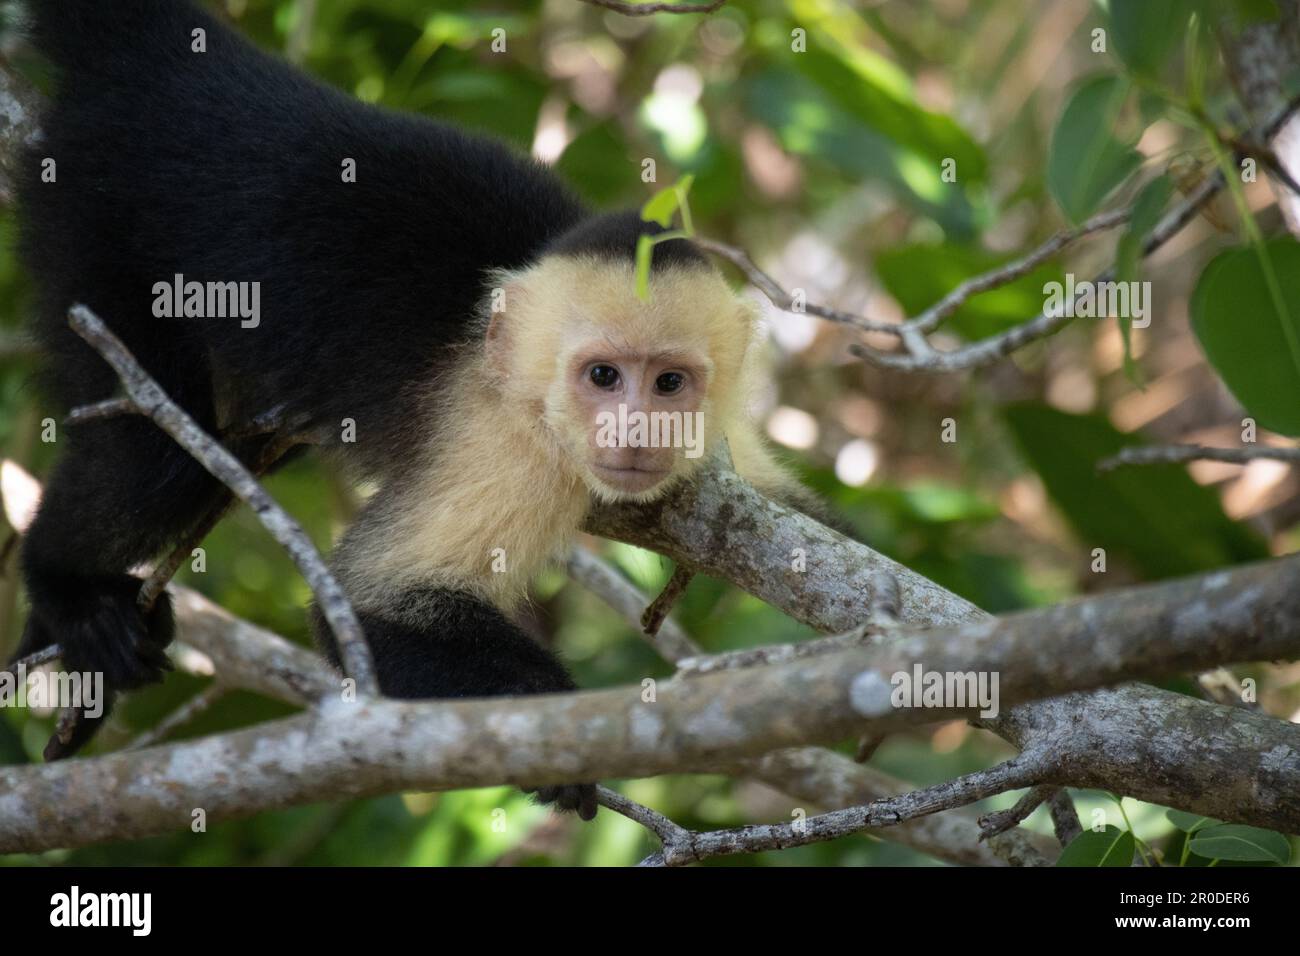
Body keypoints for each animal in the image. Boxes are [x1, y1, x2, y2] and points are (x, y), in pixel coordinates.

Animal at [12, 1, 811, 822]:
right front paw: (556, 729)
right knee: (157, 458)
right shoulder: (506, 440)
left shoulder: (728, 444)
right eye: (602, 376)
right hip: (93, 208)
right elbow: (374, 604)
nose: (636, 429)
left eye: (670, 384)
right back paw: (65, 592)